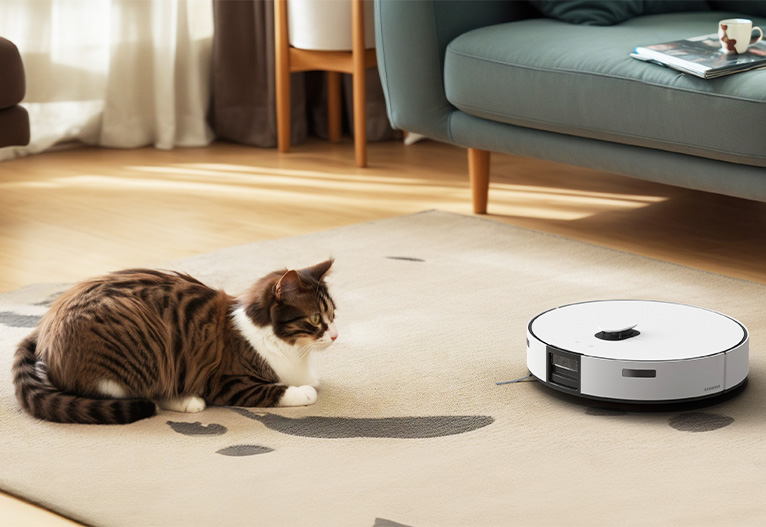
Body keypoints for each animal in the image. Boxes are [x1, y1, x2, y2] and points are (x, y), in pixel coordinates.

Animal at [12, 258, 340, 424]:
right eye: (315, 318)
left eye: (333, 314)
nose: (335, 335)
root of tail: (44, 324)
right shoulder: (228, 381)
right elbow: (279, 390)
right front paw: (303, 392)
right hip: (148, 349)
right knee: (134, 392)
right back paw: (186, 400)